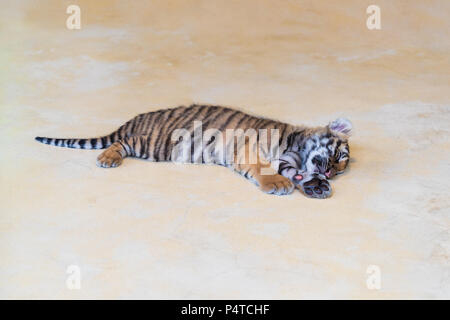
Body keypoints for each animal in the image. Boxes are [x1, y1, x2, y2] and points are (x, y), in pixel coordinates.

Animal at [36, 104, 352, 198]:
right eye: (339, 157)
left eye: (340, 170)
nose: (330, 173)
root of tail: (137, 118)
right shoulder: (250, 151)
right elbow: (265, 169)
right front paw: (278, 184)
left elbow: (298, 174)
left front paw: (316, 187)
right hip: (153, 144)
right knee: (120, 143)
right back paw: (107, 157)